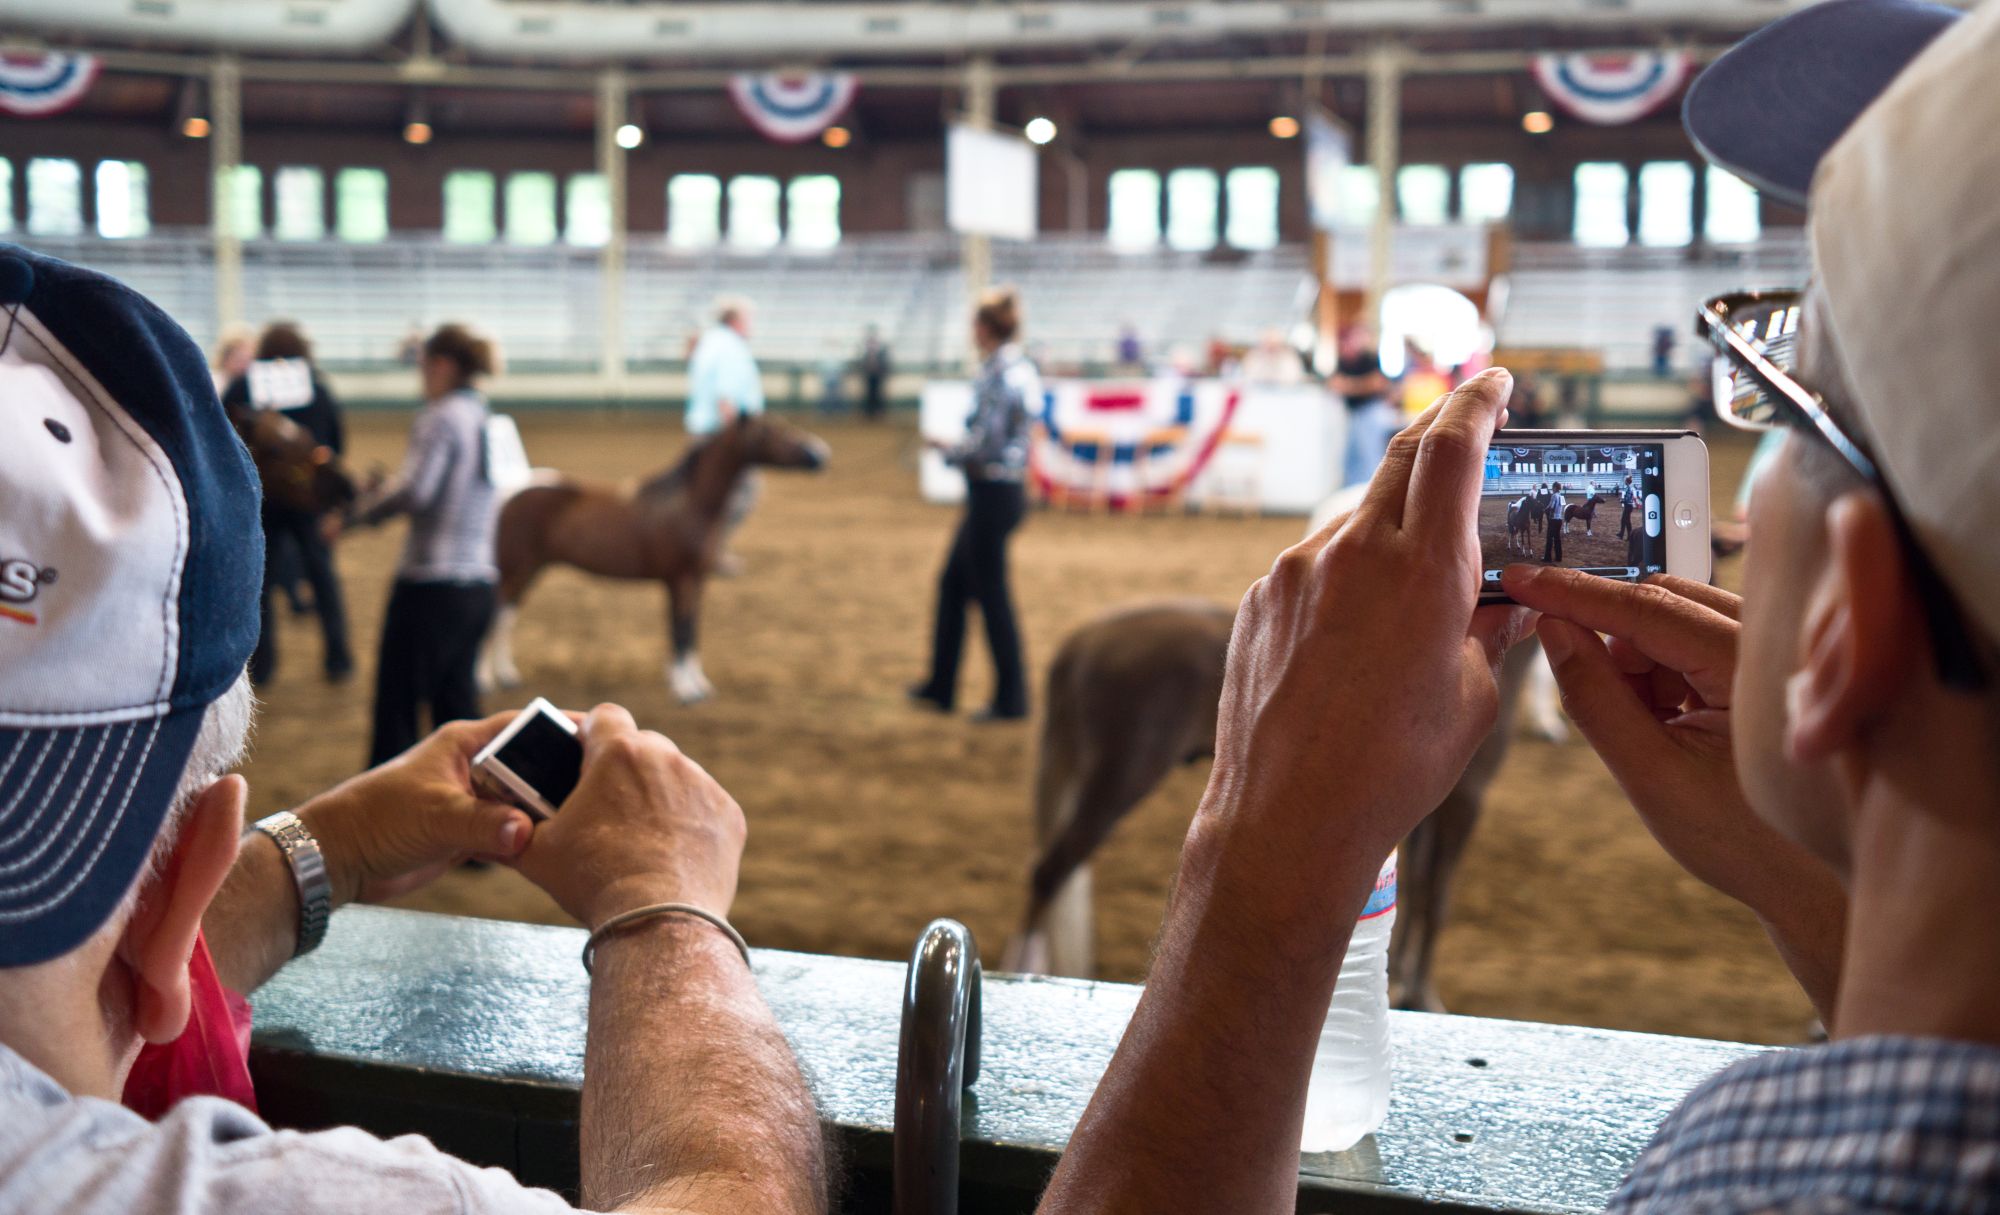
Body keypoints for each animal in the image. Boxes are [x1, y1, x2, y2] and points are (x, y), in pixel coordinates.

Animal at [480, 415, 824, 703]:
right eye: (774, 431)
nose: (819, 455)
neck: (688, 505)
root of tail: (510, 493)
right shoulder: (680, 581)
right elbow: (681, 632)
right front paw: (686, 690)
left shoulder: (696, 581)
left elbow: (690, 630)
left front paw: (697, 683)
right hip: (513, 570)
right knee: (493, 617)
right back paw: (485, 681)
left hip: (530, 570)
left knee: (506, 617)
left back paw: (508, 676)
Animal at [996, 599, 1528, 1015]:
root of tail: (1084, 641)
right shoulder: (1466, 800)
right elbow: (1437, 900)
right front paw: (1423, 993)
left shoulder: (1428, 810)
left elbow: (1418, 892)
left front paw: (1402, 982)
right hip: (1119, 779)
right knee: (1049, 871)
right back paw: (1017, 971)